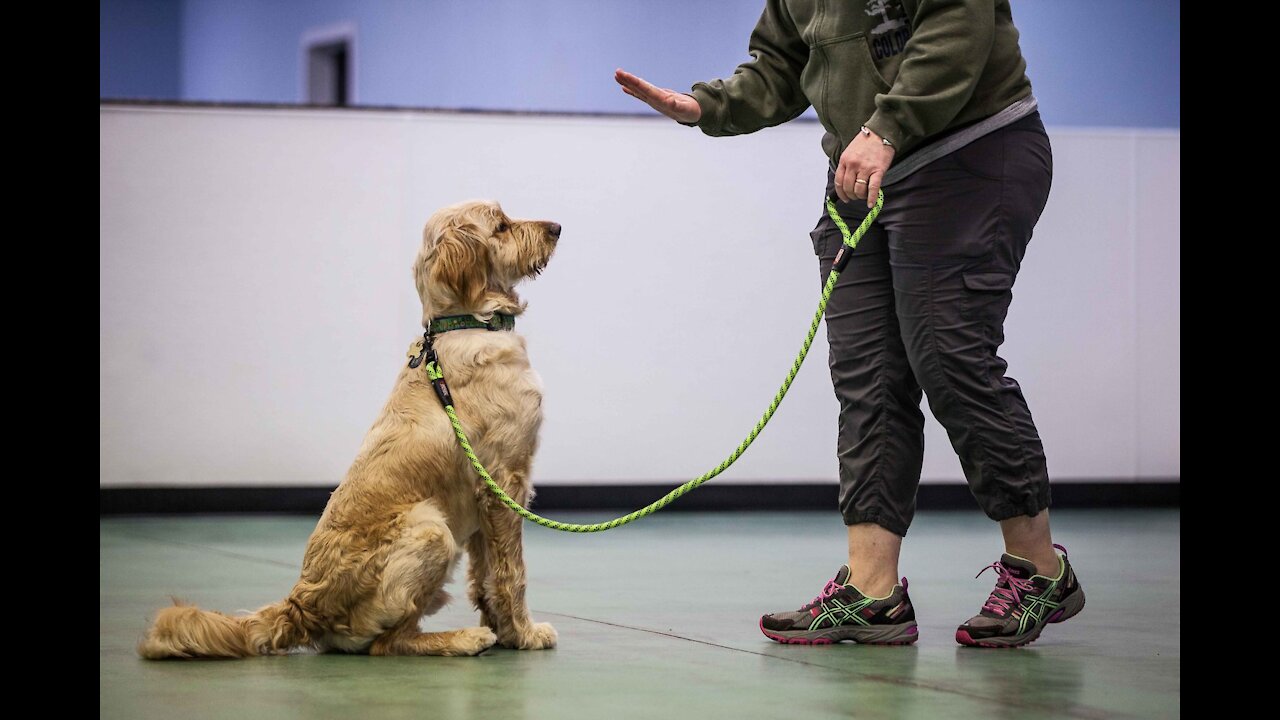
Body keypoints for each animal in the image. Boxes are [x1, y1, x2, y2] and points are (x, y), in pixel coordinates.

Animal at [138, 199, 560, 655]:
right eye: (501, 226)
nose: (557, 228)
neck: (466, 323)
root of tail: (301, 606)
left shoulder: (486, 500)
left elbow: (484, 578)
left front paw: (506, 631)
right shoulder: (504, 483)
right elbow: (511, 574)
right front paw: (524, 633)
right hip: (431, 530)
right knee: (388, 643)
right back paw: (463, 639)